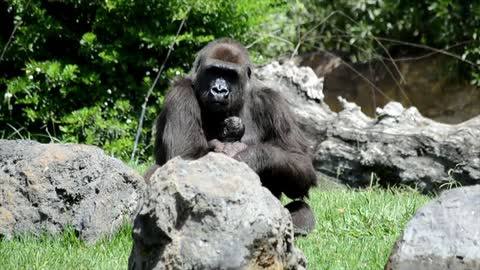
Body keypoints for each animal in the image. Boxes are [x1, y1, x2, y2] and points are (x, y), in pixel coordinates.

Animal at [150, 37, 316, 234]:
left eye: (230, 75)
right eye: (213, 71)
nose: (219, 90)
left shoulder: (274, 103)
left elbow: (300, 162)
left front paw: (250, 158)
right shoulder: (180, 93)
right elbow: (184, 158)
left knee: (303, 210)